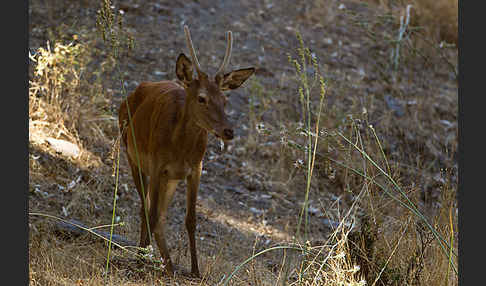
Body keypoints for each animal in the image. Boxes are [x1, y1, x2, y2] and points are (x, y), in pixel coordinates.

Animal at [117, 25, 254, 278]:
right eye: (202, 98)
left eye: (225, 100)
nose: (228, 131)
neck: (179, 149)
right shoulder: (156, 164)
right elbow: (150, 213)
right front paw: (140, 264)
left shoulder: (195, 168)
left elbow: (191, 219)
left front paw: (196, 270)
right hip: (132, 157)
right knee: (146, 209)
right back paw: (145, 257)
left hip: (171, 178)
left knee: (160, 214)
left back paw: (168, 264)